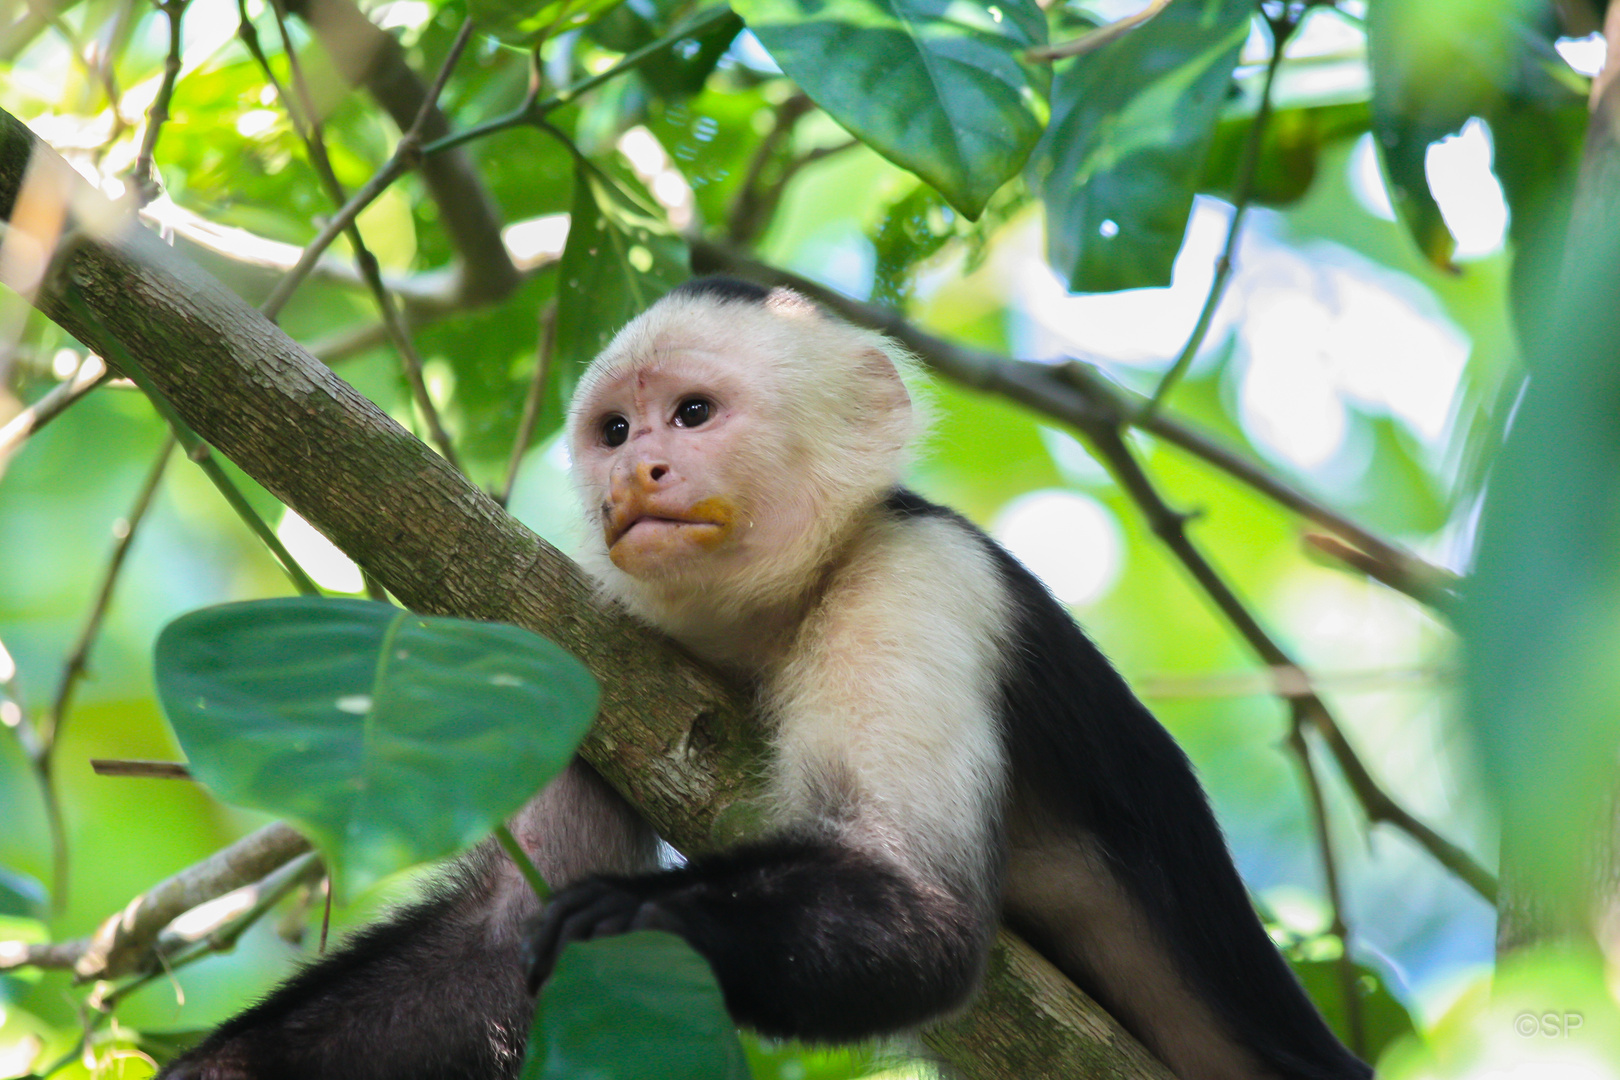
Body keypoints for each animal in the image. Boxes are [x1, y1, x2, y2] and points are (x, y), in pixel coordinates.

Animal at [161, 281, 1367, 1080]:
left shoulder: (919, 579)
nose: (639, 469)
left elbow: (921, 915)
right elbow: (503, 935)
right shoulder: (581, 645)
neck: (769, 619)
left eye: (692, 413)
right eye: (613, 429)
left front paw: (634, 919)